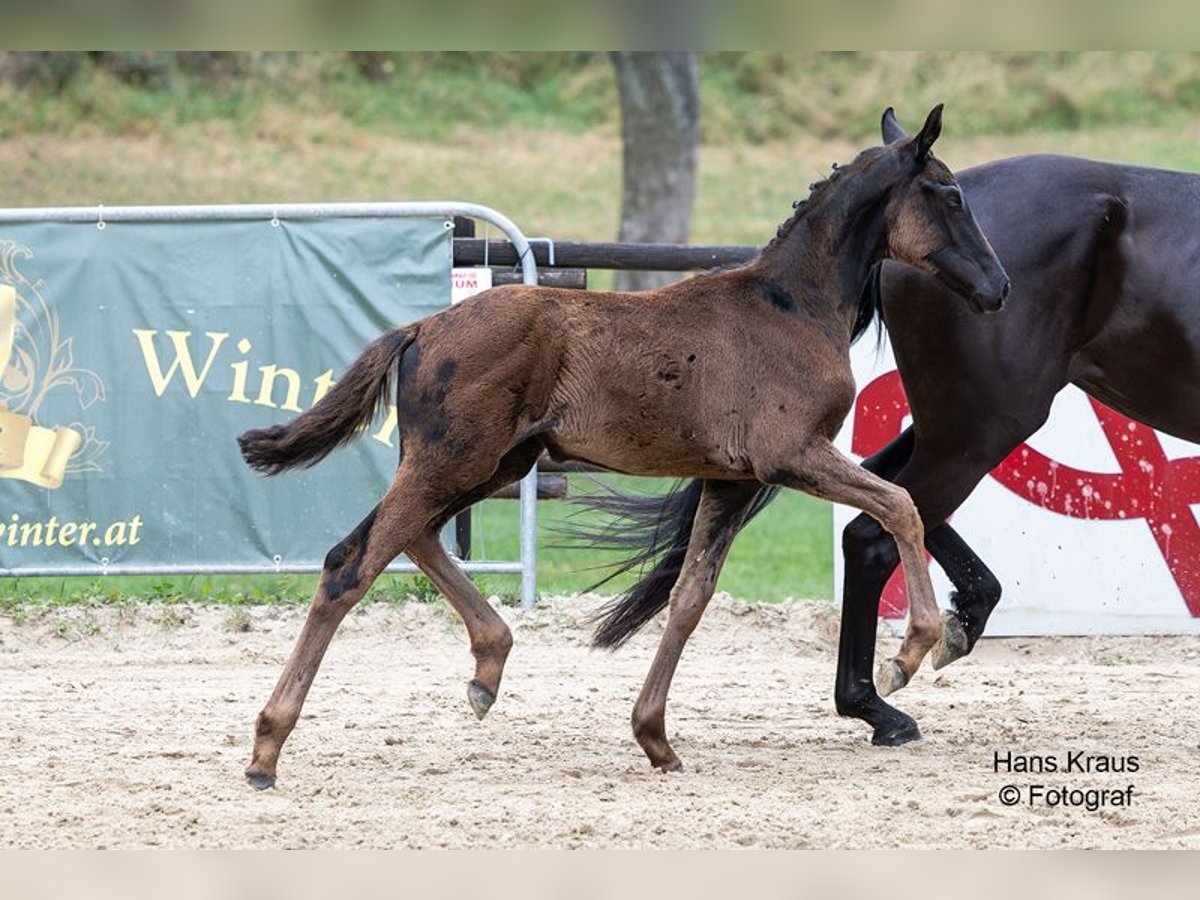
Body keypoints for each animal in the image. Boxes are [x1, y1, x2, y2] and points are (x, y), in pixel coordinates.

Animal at [238, 105, 1009, 788]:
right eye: (950, 194)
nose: (998, 287)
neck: (790, 306)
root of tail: (422, 327)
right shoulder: (791, 455)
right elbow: (901, 504)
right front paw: (914, 651)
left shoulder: (731, 478)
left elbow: (691, 598)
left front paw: (655, 737)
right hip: (454, 459)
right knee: (351, 564)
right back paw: (267, 750)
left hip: (493, 462)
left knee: (412, 539)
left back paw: (488, 667)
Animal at [587, 109, 1200, 749]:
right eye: (949, 198)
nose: (998, 286)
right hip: (983, 423)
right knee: (877, 529)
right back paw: (880, 696)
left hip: (957, 423)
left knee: (884, 497)